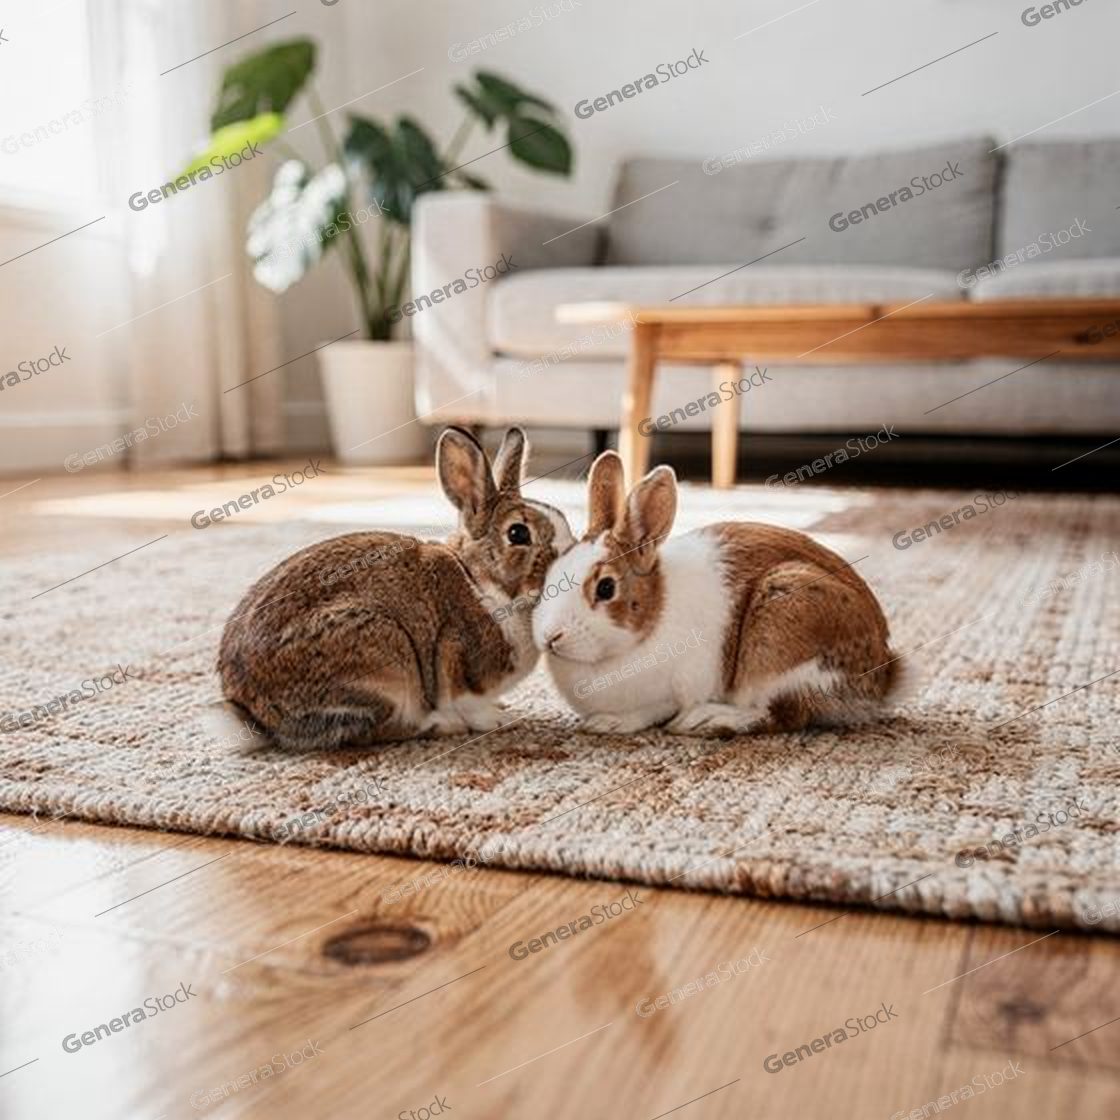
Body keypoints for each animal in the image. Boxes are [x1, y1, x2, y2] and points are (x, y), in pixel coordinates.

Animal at [218, 427, 574, 749]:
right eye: (518, 534)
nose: (569, 558)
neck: (480, 581)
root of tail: (253, 711)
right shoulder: (457, 660)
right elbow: (469, 704)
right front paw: (500, 720)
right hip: (387, 664)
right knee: (378, 729)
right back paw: (441, 725)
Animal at [531, 450, 903, 737]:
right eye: (552, 574)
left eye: (606, 588)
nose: (551, 637)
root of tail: (882, 677)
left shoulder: (672, 692)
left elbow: (647, 713)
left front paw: (607, 724)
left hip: (778, 648)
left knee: (781, 714)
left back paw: (707, 721)